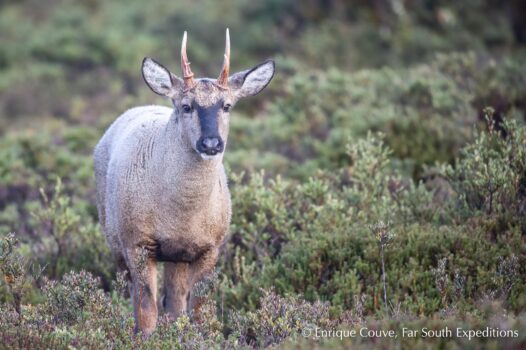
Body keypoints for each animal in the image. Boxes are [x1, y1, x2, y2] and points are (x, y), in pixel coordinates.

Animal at [94, 28, 276, 334]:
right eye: (186, 106)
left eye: (227, 105)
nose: (211, 143)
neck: (180, 216)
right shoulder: (137, 242)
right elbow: (146, 309)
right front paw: (145, 338)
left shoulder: (209, 247)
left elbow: (197, 308)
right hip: (113, 236)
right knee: (133, 294)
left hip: (176, 257)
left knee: (175, 302)